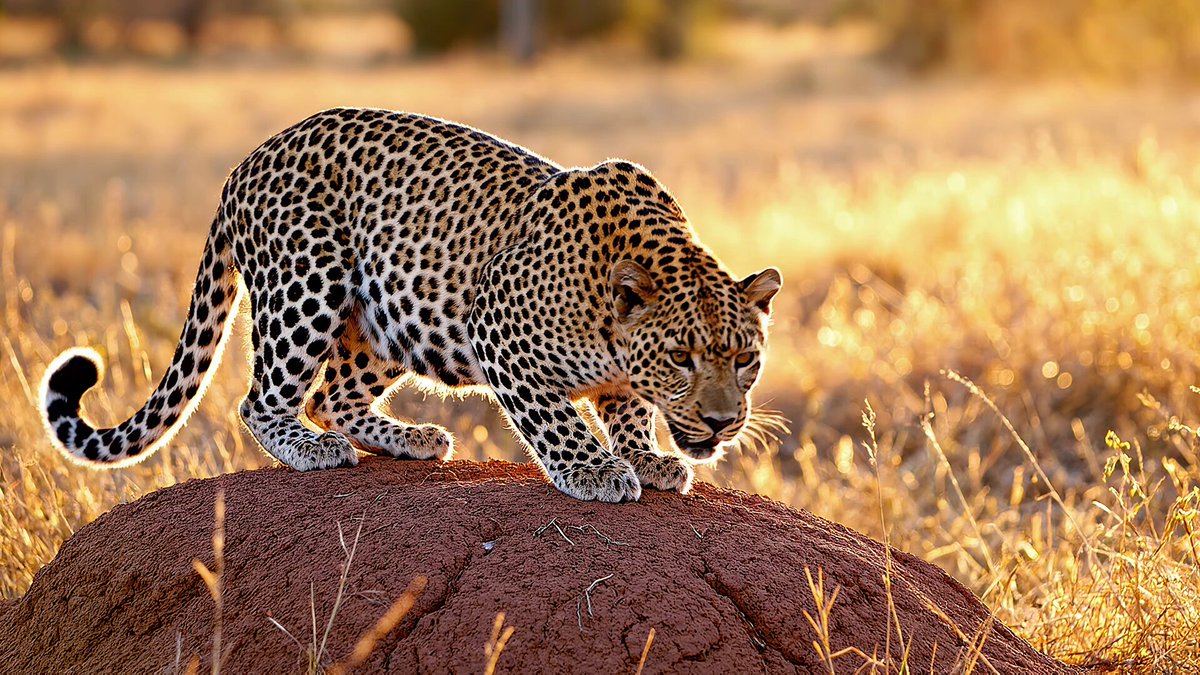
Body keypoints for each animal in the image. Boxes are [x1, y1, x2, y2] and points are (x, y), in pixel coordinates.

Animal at [39, 108, 782, 502]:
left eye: (746, 359)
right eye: (682, 358)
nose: (722, 422)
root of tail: (241, 166)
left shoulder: (616, 373)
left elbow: (628, 410)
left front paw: (648, 458)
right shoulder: (498, 330)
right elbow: (556, 419)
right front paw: (596, 469)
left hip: (394, 317)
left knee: (332, 395)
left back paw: (410, 439)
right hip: (307, 283)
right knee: (264, 399)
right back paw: (312, 450)